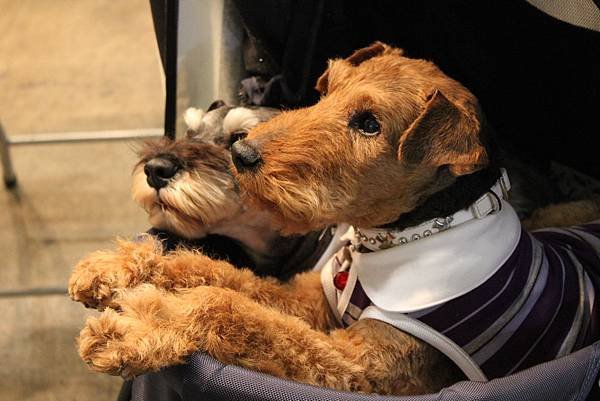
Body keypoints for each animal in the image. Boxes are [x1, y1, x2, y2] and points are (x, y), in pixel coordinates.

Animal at [71, 43, 600, 394]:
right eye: (324, 95)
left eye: (369, 123)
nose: (245, 155)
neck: (414, 233)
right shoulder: (313, 298)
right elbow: (218, 275)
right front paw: (112, 268)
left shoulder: (359, 366)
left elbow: (224, 306)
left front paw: (131, 329)